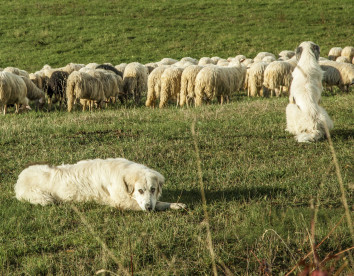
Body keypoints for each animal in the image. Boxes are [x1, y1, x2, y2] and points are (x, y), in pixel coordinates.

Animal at [14, 157, 185, 211]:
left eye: (153, 189)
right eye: (140, 190)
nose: (149, 208)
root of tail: (20, 177)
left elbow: (159, 202)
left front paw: (176, 204)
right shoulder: (121, 203)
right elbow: (159, 204)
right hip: (43, 198)